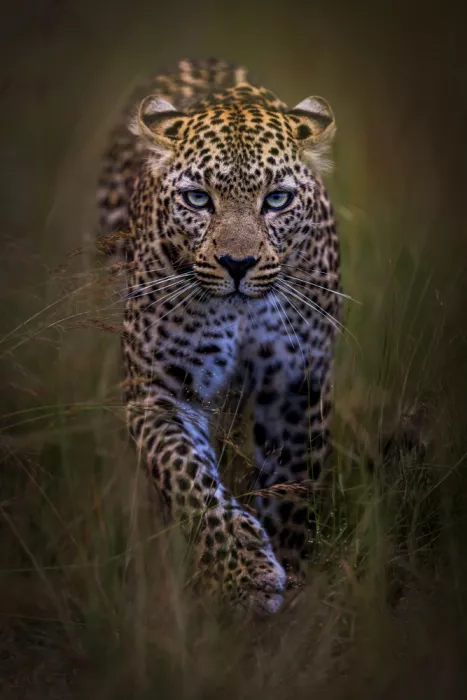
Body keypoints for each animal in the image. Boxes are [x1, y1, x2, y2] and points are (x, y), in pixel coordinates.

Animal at [97, 57, 342, 615]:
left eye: (277, 200)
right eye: (197, 199)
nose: (237, 263)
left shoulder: (297, 386)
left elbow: (291, 487)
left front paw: (288, 577)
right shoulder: (160, 391)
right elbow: (186, 477)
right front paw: (245, 573)